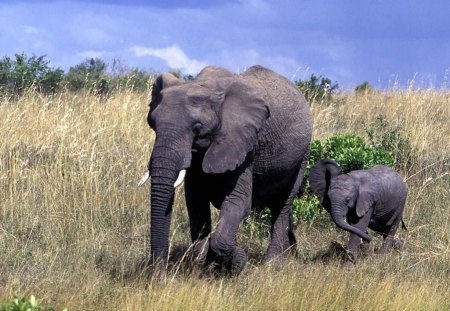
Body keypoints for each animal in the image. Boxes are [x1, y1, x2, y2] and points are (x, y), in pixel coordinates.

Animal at [141, 65, 312, 276]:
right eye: (152, 124)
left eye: (197, 128)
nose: (158, 275)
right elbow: (196, 204)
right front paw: (200, 272)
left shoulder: (244, 145)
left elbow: (237, 201)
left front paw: (236, 260)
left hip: (303, 155)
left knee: (283, 204)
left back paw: (270, 266)